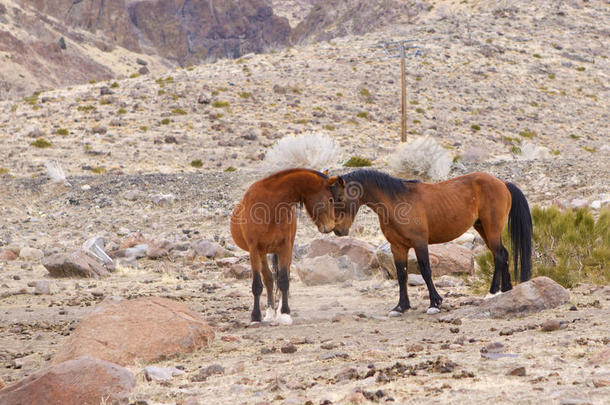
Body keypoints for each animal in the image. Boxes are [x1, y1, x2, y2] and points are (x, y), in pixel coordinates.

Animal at [229, 169, 342, 324]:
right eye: (330, 199)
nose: (331, 227)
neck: (270, 205)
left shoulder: (285, 247)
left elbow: (283, 280)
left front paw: (284, 313)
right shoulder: (254, 250)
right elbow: (258, 284)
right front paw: (255, 316)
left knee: (282, 277)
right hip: (262, 253)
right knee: (268, 279)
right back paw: (270, 313)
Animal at [330, 169, 528, 314]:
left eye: (339, 198)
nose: (338, 230)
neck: (397, 202)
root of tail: (502, 183)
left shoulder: (419, 243)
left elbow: (425, 270)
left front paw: (435, 303)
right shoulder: (398, 247)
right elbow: (401, 275)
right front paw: (401, 307)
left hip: (491, 228)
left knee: (499, 255)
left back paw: (492, 293)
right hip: (482, 228)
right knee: (503, 254)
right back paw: (507, 290)